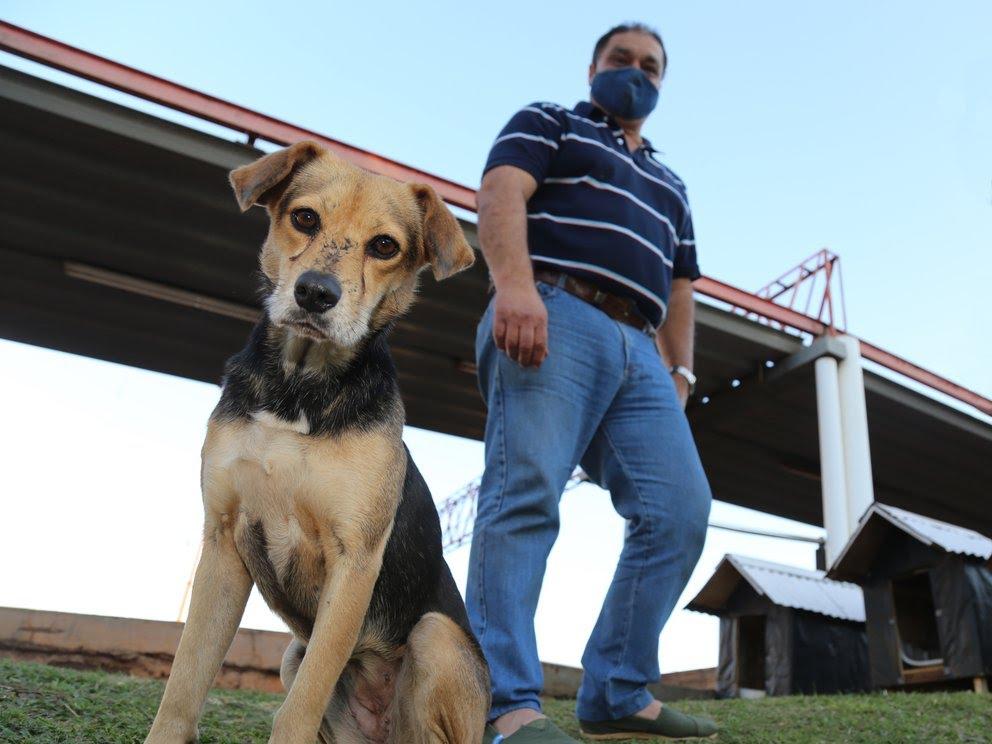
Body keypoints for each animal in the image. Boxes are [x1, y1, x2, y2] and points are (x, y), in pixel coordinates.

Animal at [142, 141, 488, 744]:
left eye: (385, 246)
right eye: (304, 217)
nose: (315, 293)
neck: (297, 389)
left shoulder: (355, 559)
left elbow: (297, 710)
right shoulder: (222, 541)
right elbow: (184, 683)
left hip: (436, 638)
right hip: (292, 654)